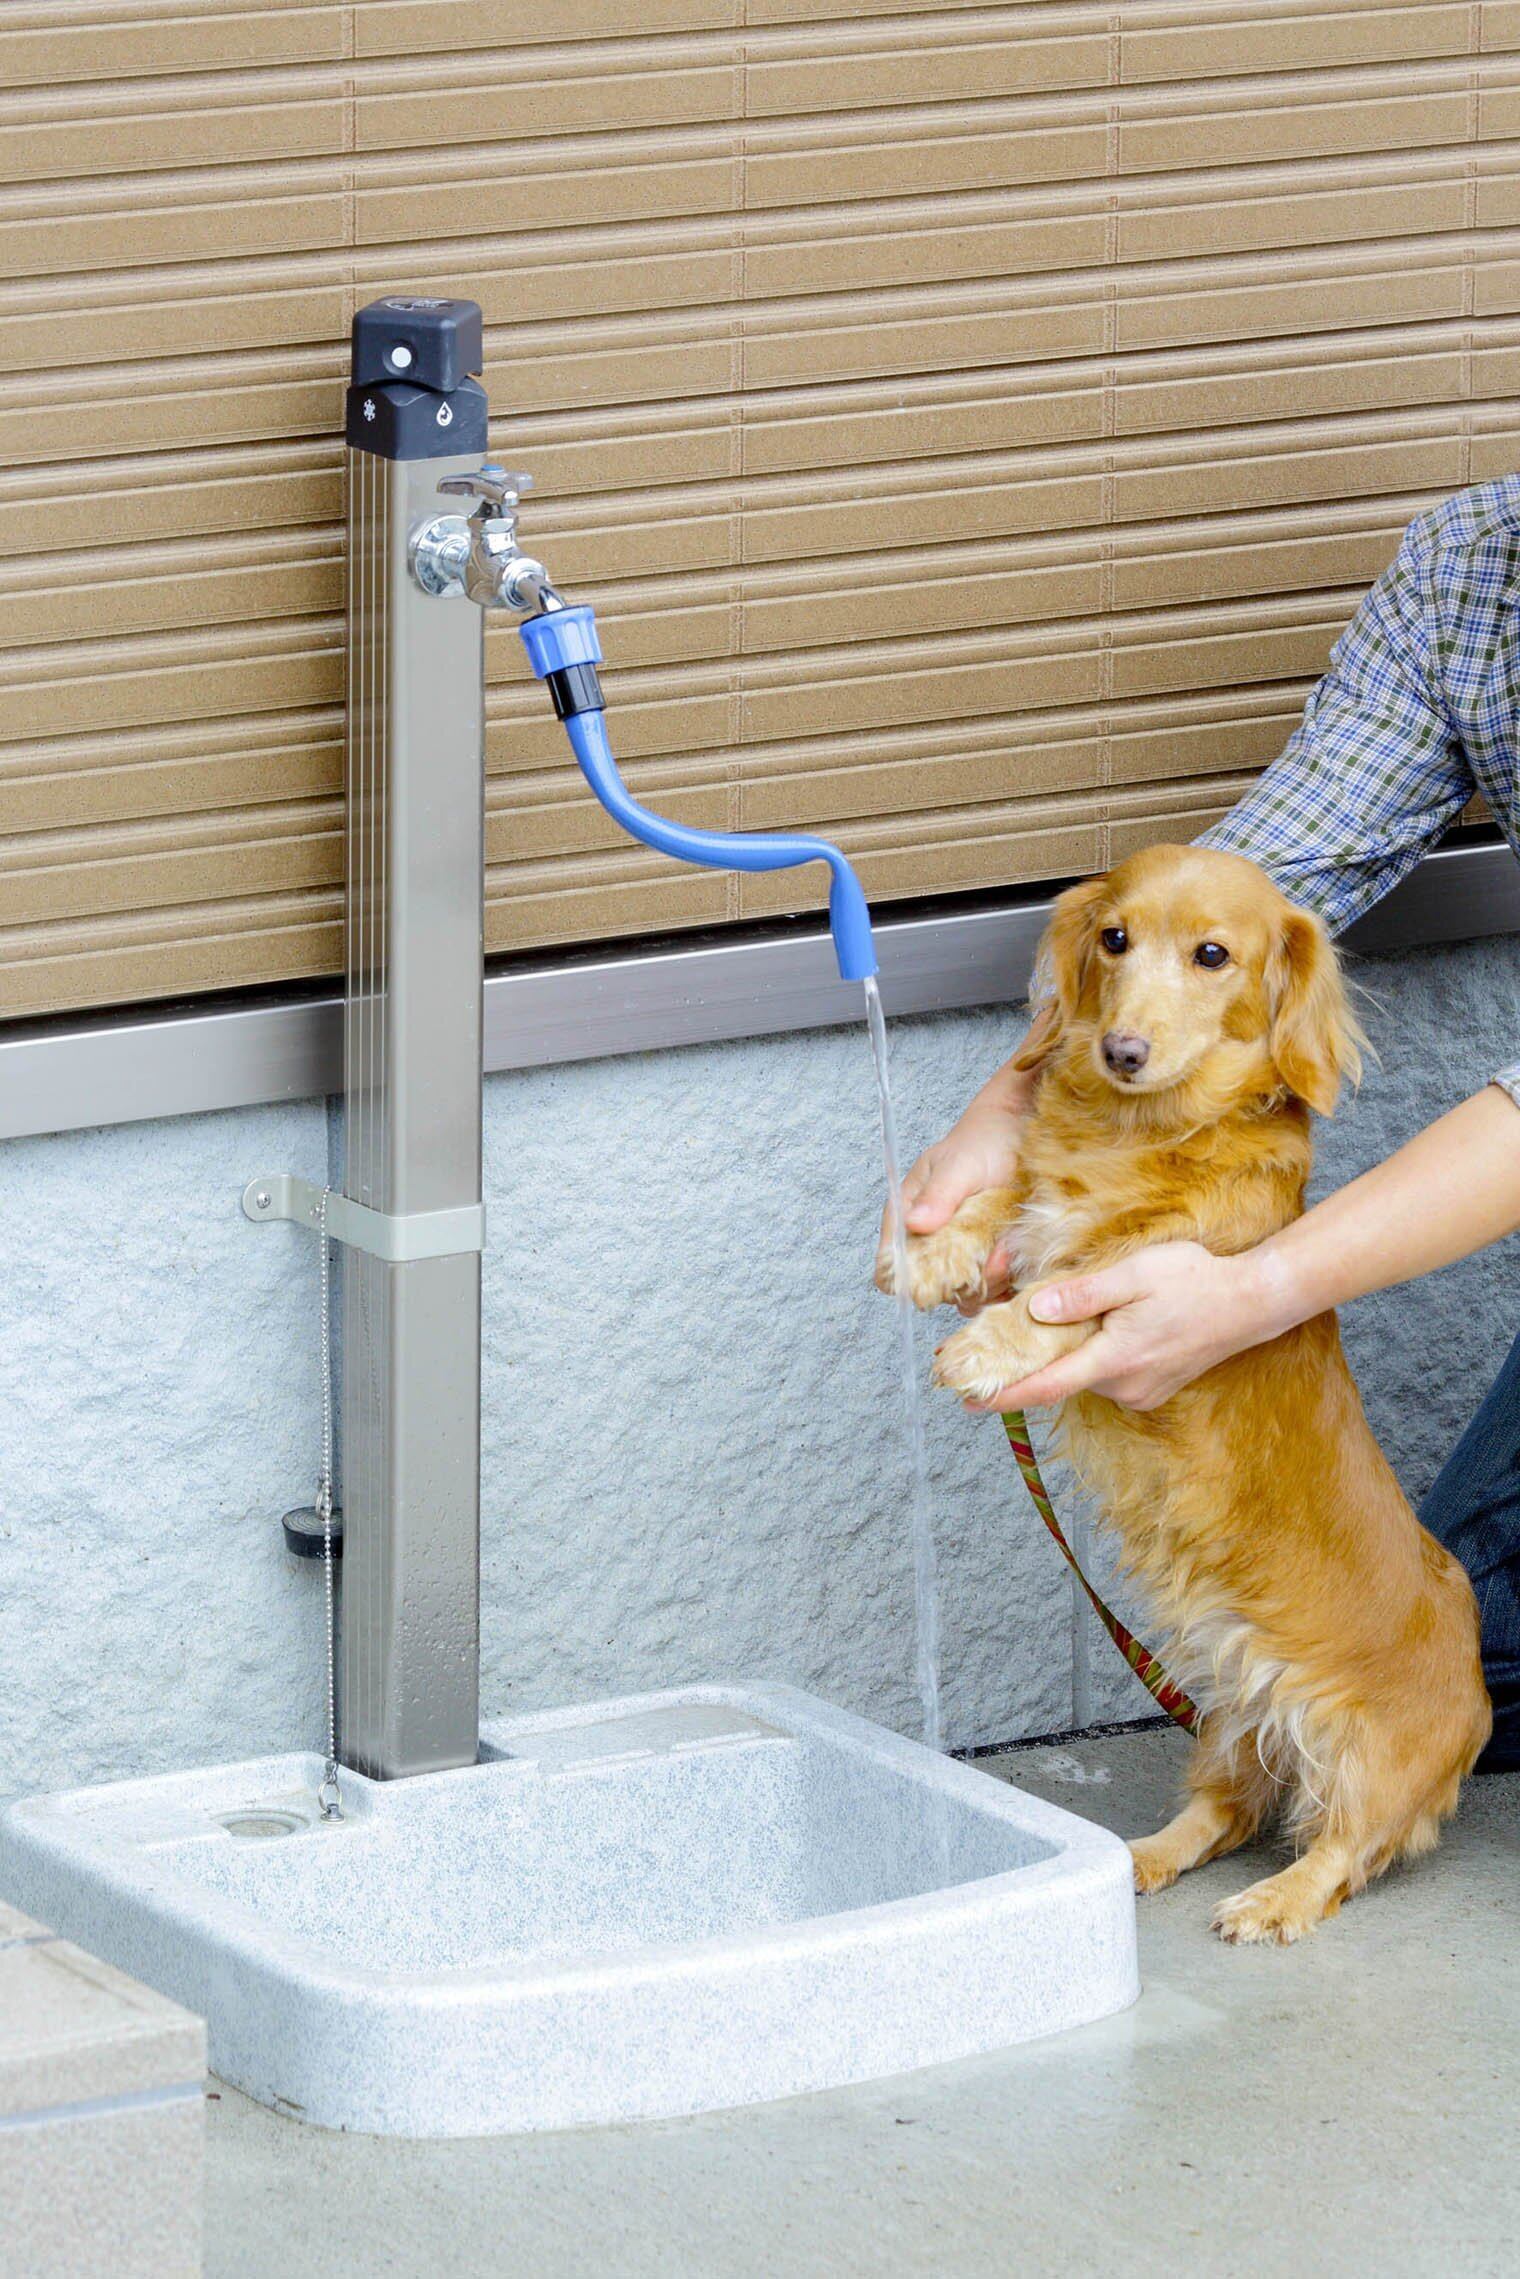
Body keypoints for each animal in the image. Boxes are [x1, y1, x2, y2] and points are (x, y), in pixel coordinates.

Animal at [878, 843, 1489, 1943]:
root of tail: (1477, 1686)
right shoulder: (1042, 1195)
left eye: (1212, 954)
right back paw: (1141, 1857)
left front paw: (987, 1345)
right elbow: (1009, 1200)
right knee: (1221, 1811)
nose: (1121, 1048)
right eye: (1113, 937)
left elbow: (1064, 1296)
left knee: (1340, 1848)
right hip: (1231, 1708)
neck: (1132, 1130)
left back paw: (1273, 1898)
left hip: (1360, 1751)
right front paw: (933, 1244)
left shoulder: (1145, 1276)